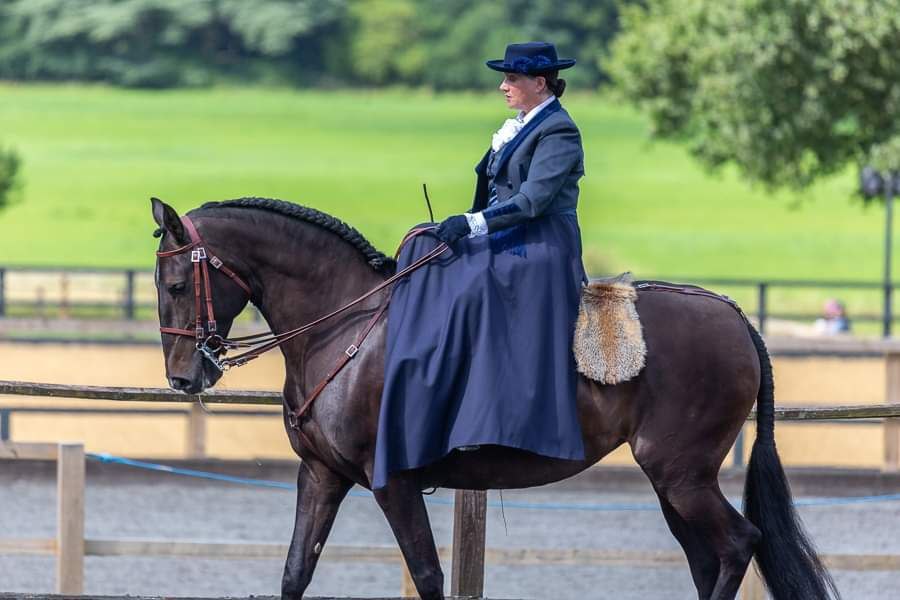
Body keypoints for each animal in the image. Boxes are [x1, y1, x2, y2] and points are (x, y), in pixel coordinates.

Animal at [153, 198, 836, 600]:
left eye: (178, 283)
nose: (185, 377)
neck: (344, 325)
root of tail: (735, 315)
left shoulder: (392, 482)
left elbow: (429, 574)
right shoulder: (321, 474)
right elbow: (296, 570)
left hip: (682, 475)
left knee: (738, 544)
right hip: (676, 483)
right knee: (709, 557)